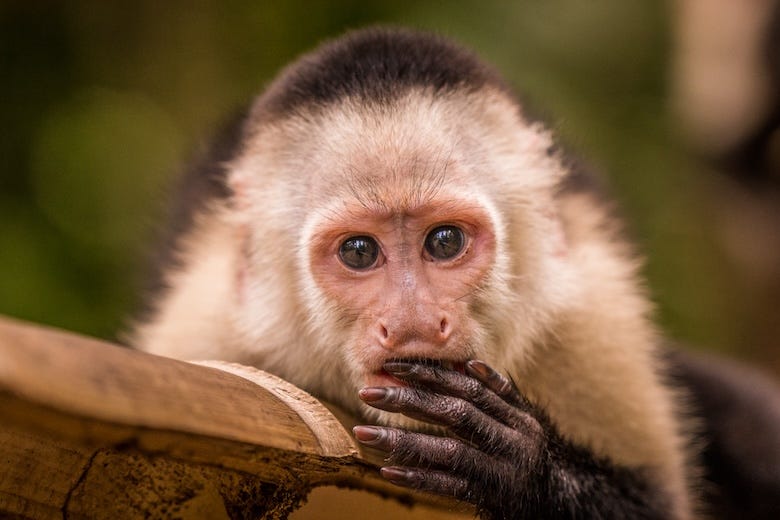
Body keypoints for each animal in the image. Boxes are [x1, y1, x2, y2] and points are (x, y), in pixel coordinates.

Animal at [130, 27, 780, 519]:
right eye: (359, 252)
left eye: (444, 242)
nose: (414, 321)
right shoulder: (208, 335)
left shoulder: (587, 315)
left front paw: (519, 470)